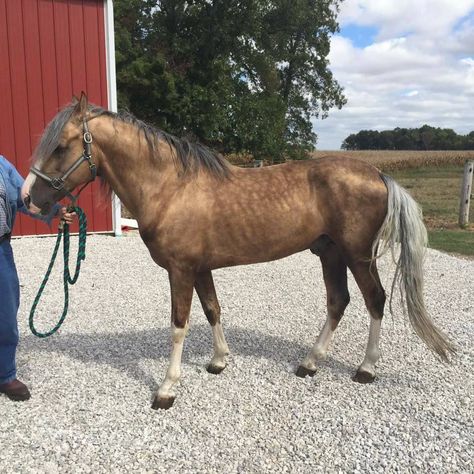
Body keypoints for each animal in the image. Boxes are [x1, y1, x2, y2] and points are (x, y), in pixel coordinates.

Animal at [22, 94, 456, 410]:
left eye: (60, 147)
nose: (27, 198)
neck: (169, 187)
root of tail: (378, 174)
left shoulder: (180, 270)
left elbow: (179, 324)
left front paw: (167, 389)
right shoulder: (200, 269)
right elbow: (213, 309)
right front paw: (219, 361)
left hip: (356, 254)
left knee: (374, 300)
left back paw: (366, 368)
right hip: (330, 253)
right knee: (338, 301)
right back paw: (309, 362)